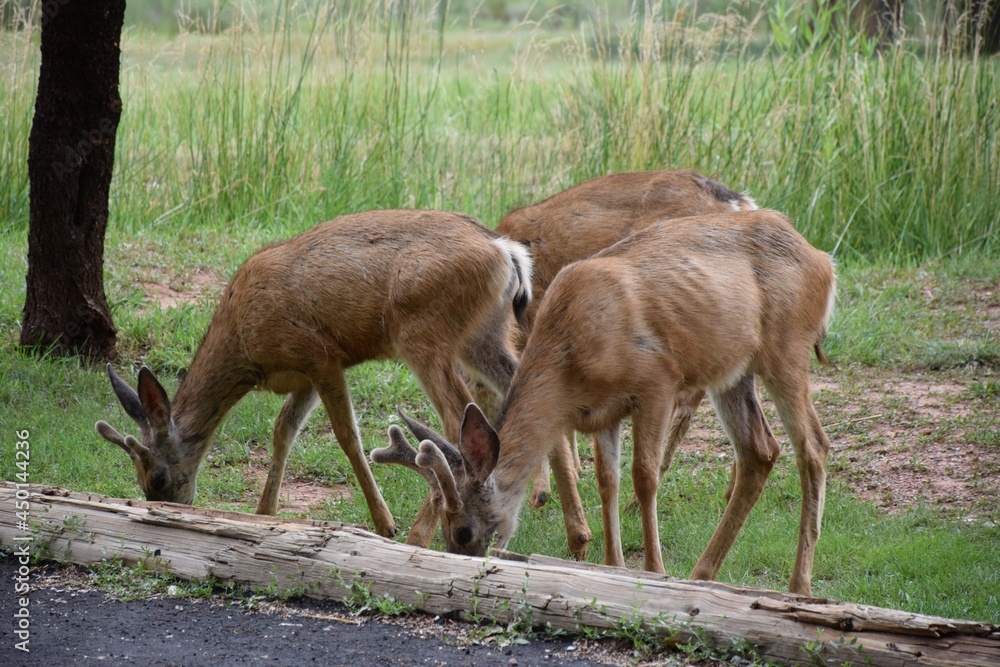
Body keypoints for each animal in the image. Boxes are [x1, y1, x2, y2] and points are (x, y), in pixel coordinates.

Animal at [95, 209, 531, 543]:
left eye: (157, 478)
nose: (167, 510)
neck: (243, 342)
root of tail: (505, 251)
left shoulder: (320, 354)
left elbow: (347, 436)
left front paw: (385, 523)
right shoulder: (302, 374)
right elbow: (282, 430)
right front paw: (264, 513)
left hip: (423, 334)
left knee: (458, 419)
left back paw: (425, 529)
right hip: (484, 333)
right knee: (517, 384)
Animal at [375, 209, 836, 596]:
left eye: (464, 533)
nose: (461, 567)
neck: (570, 359)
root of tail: (823, 261)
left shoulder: (657, 382)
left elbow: (643, 476)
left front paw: (653, 570)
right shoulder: (602, 413)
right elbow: (606, 481)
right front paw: (612, 567)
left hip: (786, 349)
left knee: (813, 446)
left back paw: (799, 585)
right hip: (734, 372)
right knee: (761, 450)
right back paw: (702, 574)